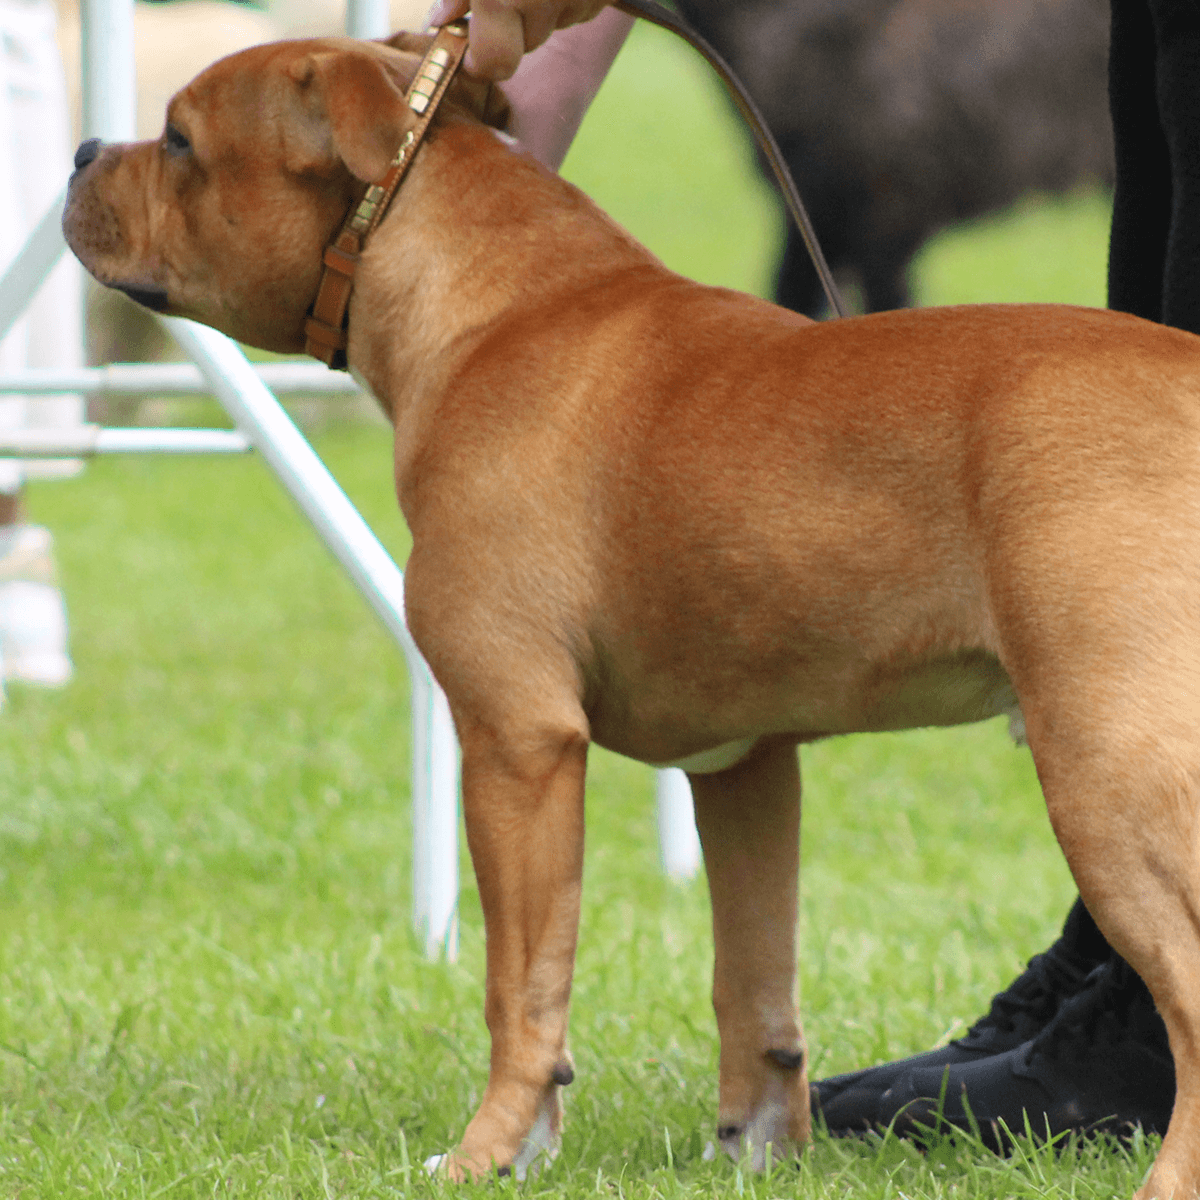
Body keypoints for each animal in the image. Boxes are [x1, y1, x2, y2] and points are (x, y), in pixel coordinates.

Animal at [63, 32, 1200, 1195]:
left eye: (179, 141)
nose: (80, 150)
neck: (483, 304)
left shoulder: (517, 744)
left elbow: (520, 988)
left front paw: (492, 1151)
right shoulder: (743, 768)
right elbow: (753, 985)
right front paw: (754, 1152)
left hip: (1108, 776)